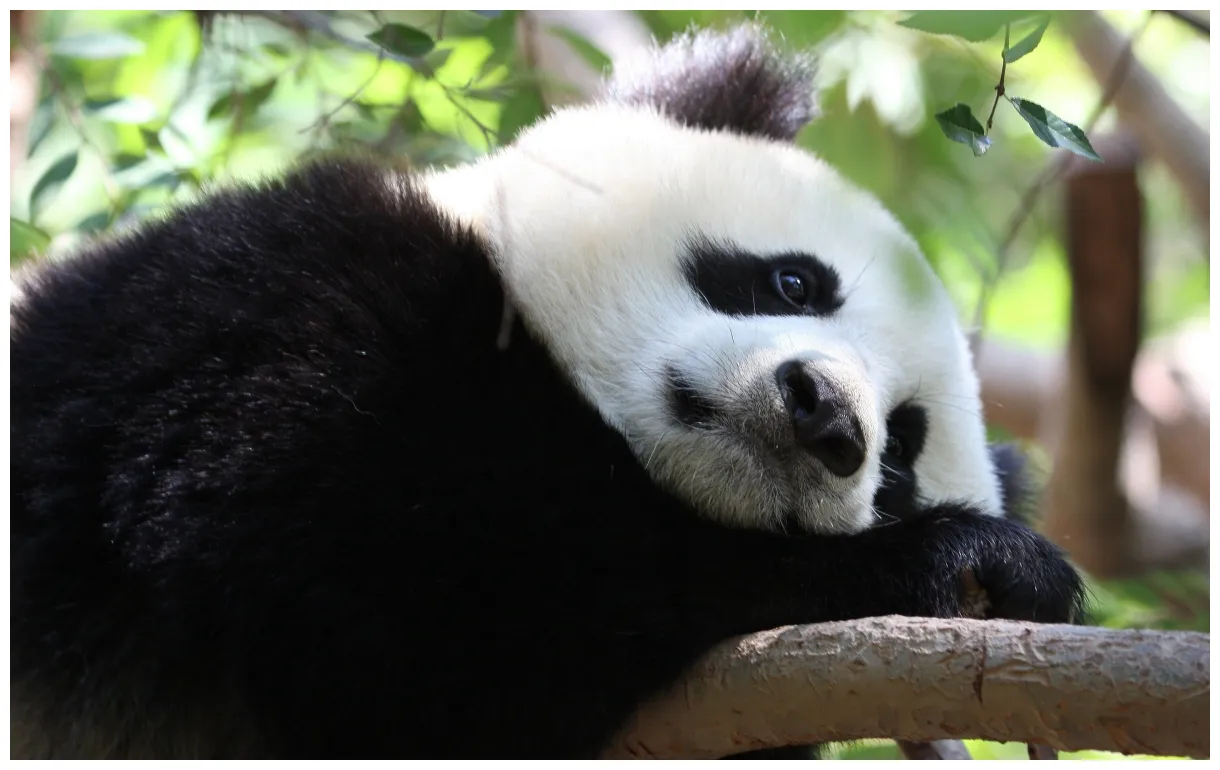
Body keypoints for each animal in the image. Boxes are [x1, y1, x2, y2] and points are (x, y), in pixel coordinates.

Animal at [10, 24, 1083, 759]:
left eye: (898, 451)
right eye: (792, 282)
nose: (825, 414)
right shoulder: (270, 308)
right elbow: (413, 578)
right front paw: (967, 563)